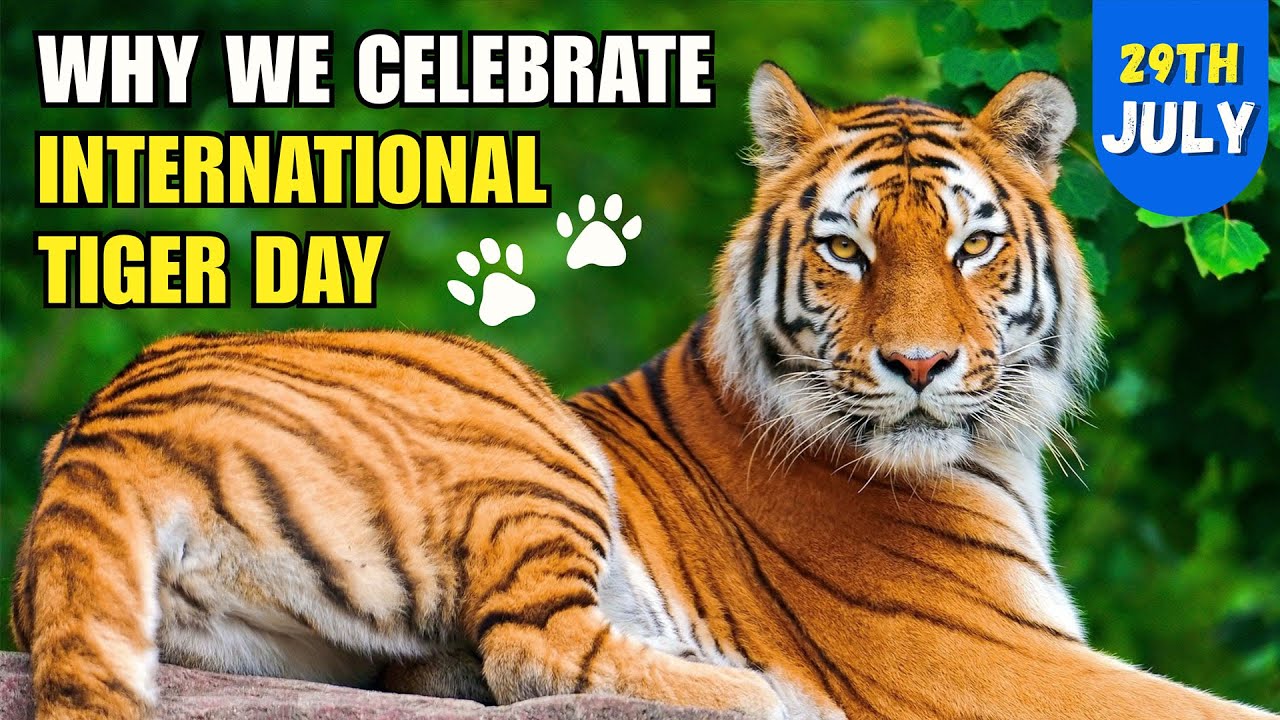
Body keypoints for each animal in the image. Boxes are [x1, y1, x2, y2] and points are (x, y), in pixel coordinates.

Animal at [10, 63, 1275, 720]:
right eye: (847, 250)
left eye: (971, 247)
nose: (916, 367)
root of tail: (100, 431)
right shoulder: (982, 656)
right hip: (518, 419)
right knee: (533, 649)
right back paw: (752, 693)